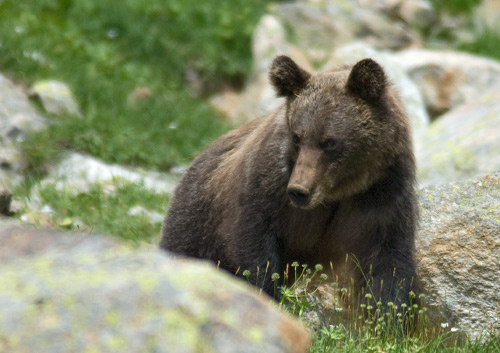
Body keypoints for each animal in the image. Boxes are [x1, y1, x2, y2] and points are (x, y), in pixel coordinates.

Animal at [160, 55, 418, 306]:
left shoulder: (382, 196)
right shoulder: (266, 188)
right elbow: (255, 249)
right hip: (196, 225)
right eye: (297, 137)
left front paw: (387, 311)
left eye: (329, 141)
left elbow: (388, 264)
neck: (340, 191)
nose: (298, 190)